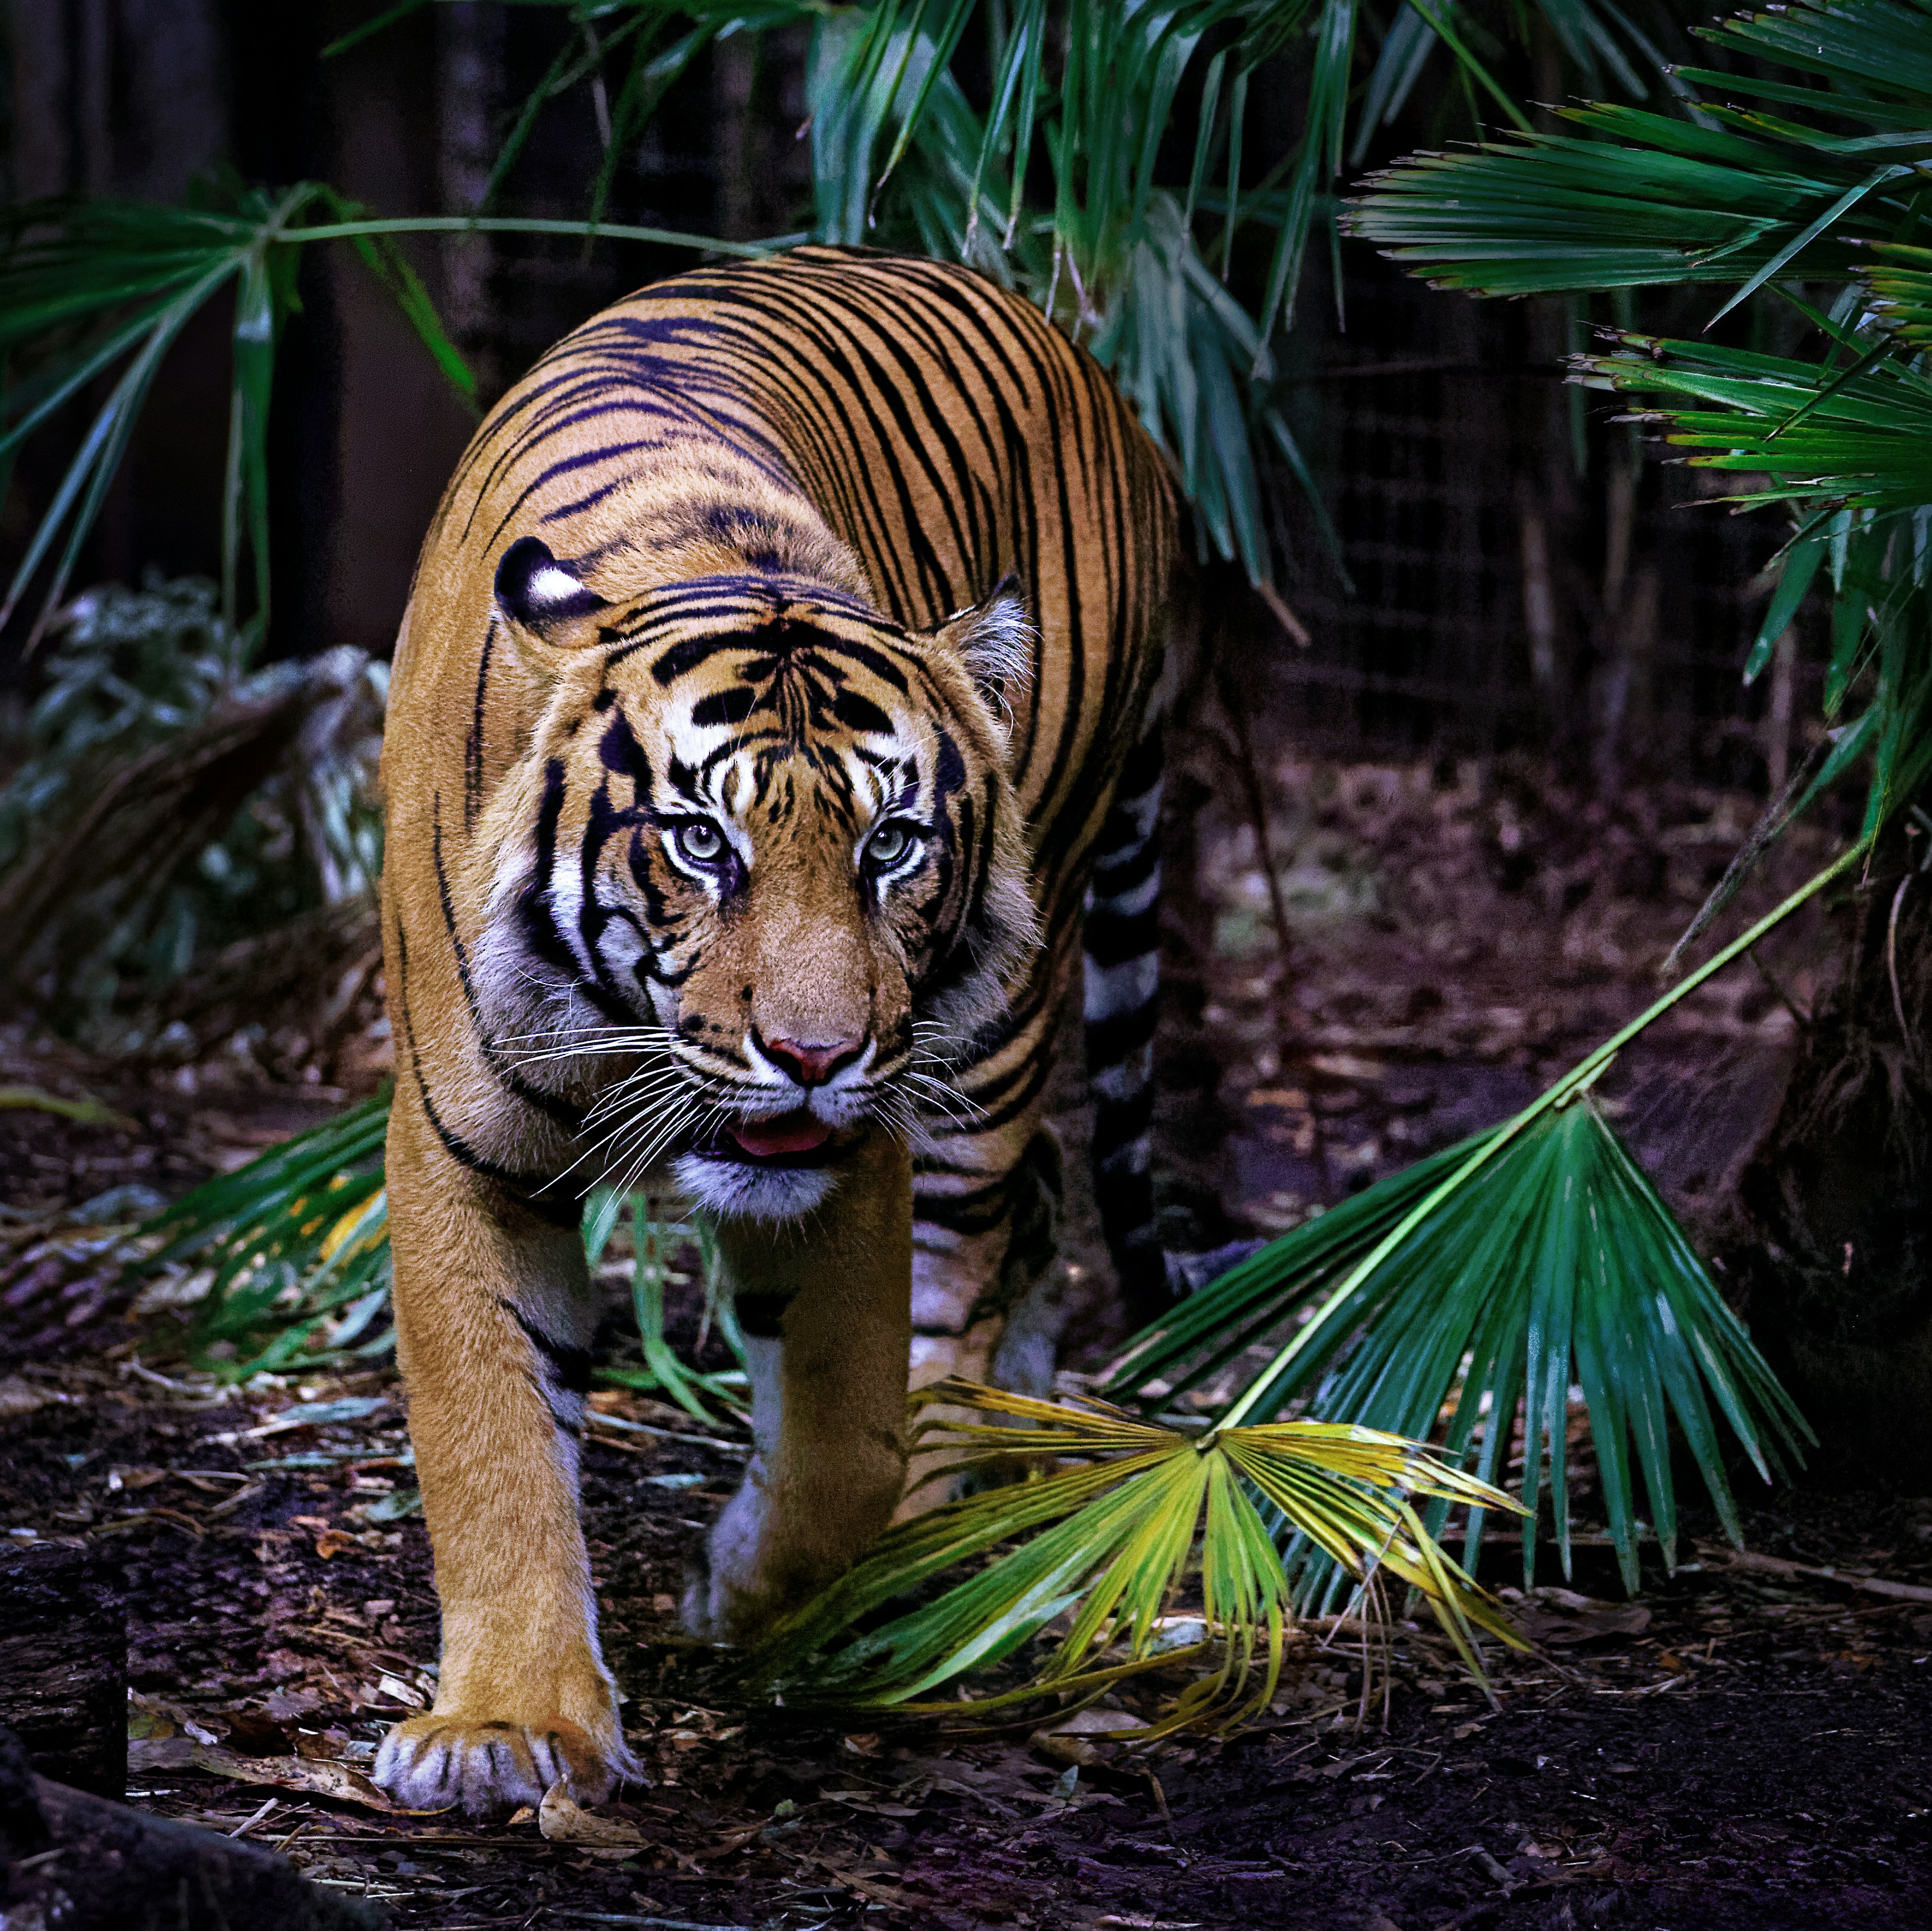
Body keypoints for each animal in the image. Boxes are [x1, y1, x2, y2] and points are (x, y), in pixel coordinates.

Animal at [370, 246, 1178, 1815]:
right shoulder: (457, 1149)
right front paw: (508, 1723)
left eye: (891, 846)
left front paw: (755, 1587)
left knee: (967, 1278)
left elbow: (840, 1443)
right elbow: (492, 1440)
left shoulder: (858, 1156)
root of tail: (1095, 364)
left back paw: (925, 1548)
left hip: (993, 1033)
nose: (814, 1053)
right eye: (700, 841)